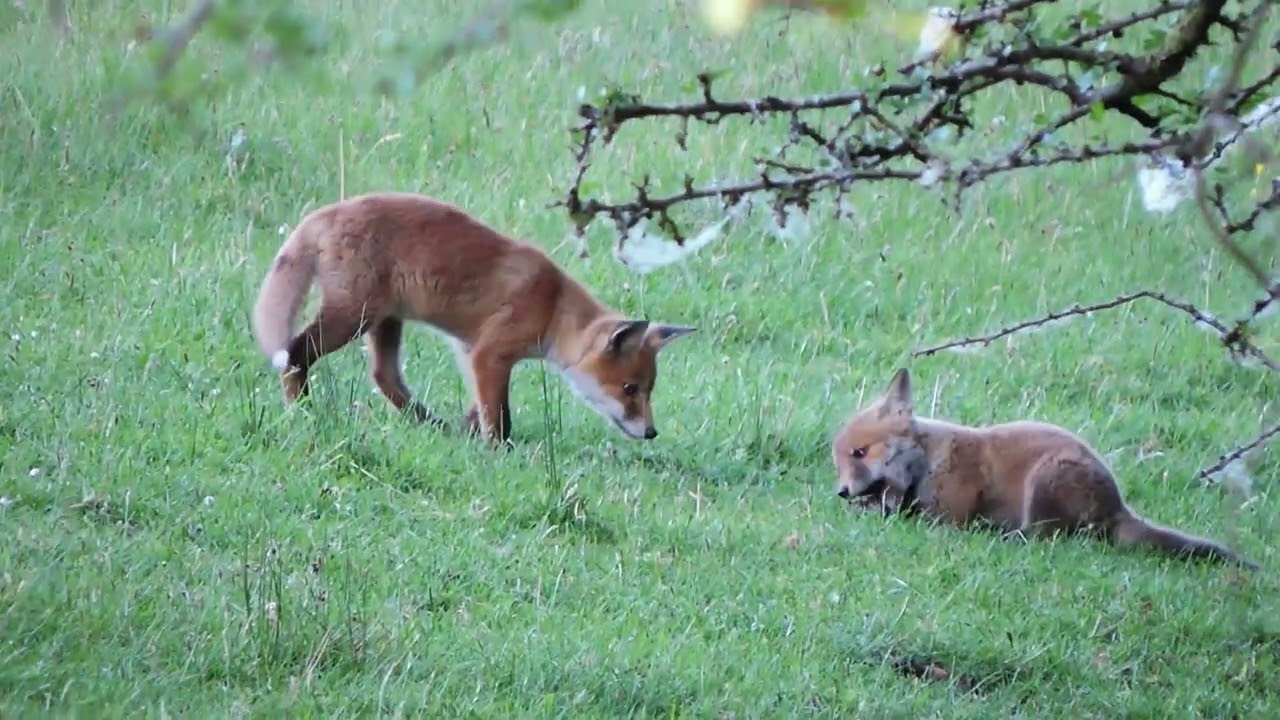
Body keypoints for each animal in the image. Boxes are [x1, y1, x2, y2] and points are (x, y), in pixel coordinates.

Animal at [250, 191, 696, 443]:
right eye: (630, 388)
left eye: (648, 389)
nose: (652, 433)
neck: (552, 308)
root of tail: (323, 214)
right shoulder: (490, 353)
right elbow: (499, 417)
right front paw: (498, 449)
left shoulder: (471, 351)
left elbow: (481, 405)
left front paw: (470, 433)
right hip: (351, 317)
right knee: (296, 352)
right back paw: (302, 408)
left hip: (385, 321)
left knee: (385, 377)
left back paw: (429, 423)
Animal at [831, 367, 1259, 570]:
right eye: (839, 463)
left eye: (860, 453)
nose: (841, 491)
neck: (927, 461)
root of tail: (1117, 506)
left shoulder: (947, 517)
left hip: (1045, 481)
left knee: (1047, 538)